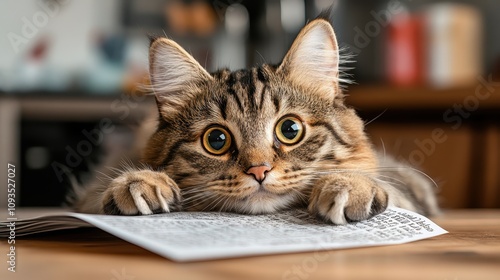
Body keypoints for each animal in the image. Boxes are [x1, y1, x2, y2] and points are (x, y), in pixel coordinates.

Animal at [72, 17, 440, 223]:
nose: (259, 170)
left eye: (290, 129)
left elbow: (382, 185)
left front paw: (348, 185)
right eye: (216, 140)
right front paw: (140, 182)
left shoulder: (410, 187)